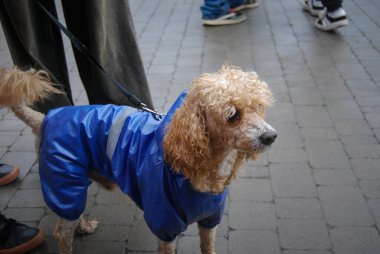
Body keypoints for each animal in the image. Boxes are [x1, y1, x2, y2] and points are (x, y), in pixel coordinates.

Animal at [0, 64, 274, 253]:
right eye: (232, 115)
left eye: (259, 107)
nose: (271, 136)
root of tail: (44, 118)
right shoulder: (164, 224)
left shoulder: (210, 220)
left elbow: (208, 247)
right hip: (63, 180)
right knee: (62, 232)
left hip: (73, 183)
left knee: (70, 215)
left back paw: (83, 225)